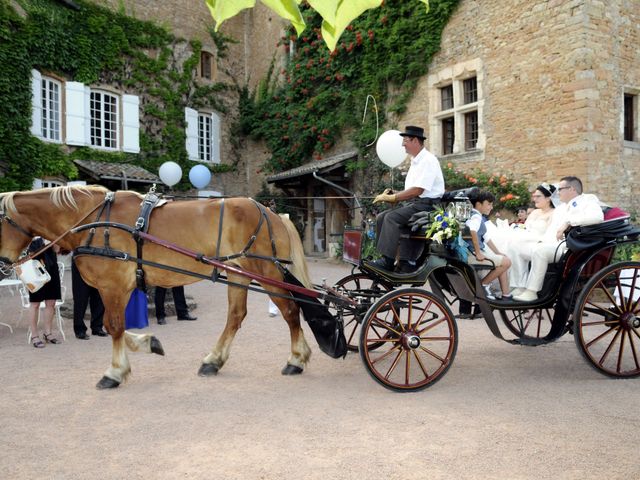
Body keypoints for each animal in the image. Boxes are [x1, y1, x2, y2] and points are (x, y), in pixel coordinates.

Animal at [0, 186, 316, 388]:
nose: (3, 262)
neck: (93, 221)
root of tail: (272, 213)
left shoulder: (113, 286)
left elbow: (113, 325)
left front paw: (115, 371)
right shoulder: (118, 288)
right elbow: (115, 325)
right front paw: (149, 343)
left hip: (266, 272)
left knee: (290, 311)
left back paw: (296, 359)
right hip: (238, 274)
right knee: (236, 317)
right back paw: (213, 360)